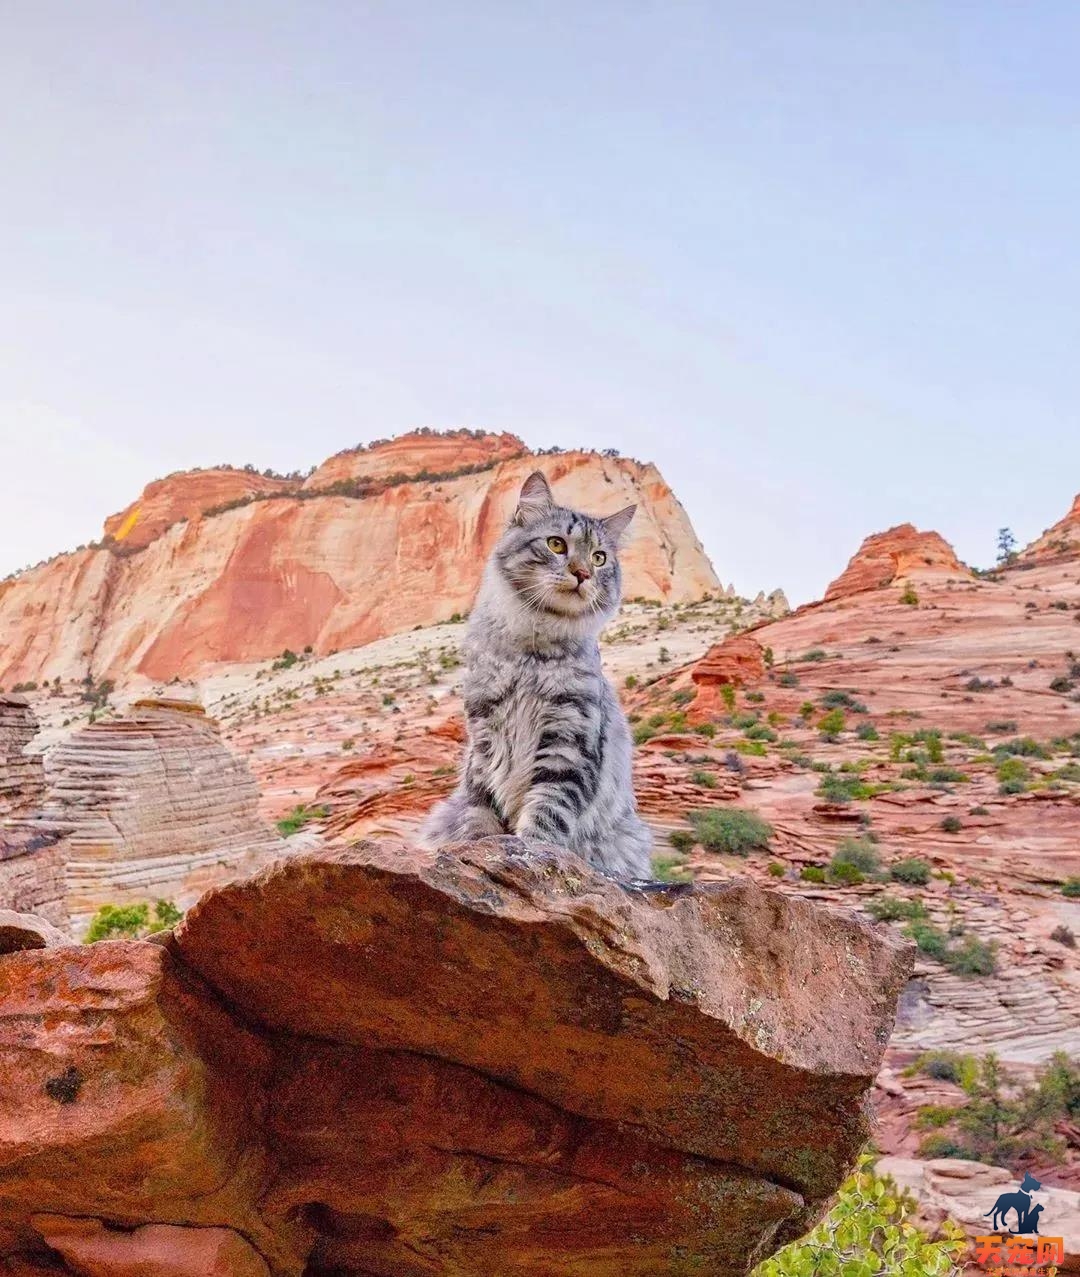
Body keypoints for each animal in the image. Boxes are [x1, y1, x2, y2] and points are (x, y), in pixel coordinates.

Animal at [421, 469, 651, 878]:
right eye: (556, 544)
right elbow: (482, 812)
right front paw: (480, 851)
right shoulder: (484, 737)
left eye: (599, 557)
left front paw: (530, 852)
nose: (583, 573)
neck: (533, 653)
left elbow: (547, 812)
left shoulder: (569, 739)